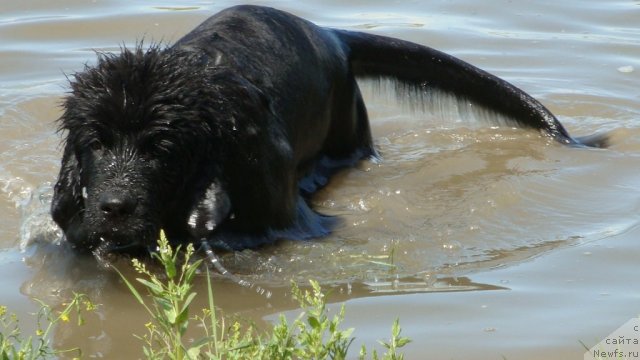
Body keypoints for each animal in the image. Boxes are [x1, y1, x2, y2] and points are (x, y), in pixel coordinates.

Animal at [51, 4, 604, 255]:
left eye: (160, 147)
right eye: (96, 144)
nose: (114, 207)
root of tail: (331, 36)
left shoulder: (280, 216)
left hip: (349, 130)